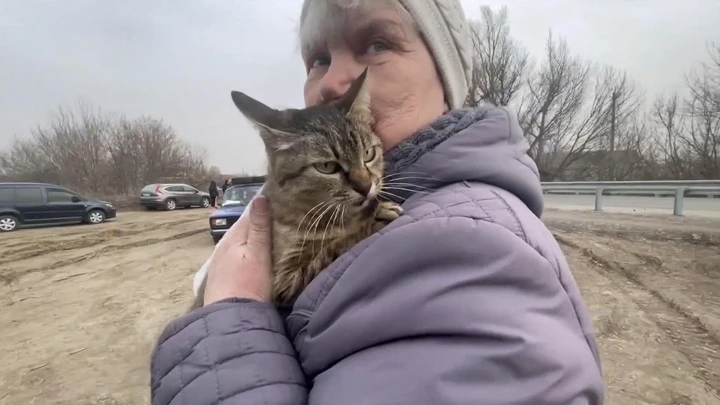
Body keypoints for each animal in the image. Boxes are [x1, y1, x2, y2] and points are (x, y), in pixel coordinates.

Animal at [190, 68, 404, 310]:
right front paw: (375, 217)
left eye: (368, 154)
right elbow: (329, 250)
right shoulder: (284, 281)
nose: (366, 186)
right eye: (327, 167)